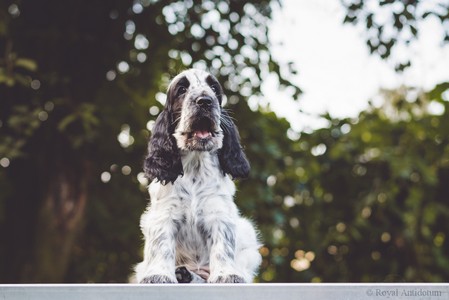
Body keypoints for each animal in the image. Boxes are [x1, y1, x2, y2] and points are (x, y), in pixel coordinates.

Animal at [135, 68, 262, 284]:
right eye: (182, 89)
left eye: (214, 88)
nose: (205, 101)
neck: (195, 164)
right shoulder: (164, 214)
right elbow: (162, 246)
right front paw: (158, 275)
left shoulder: (219, 212)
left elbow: (222, 246)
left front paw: (227, 275)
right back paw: (182, 273)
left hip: (247, 235)